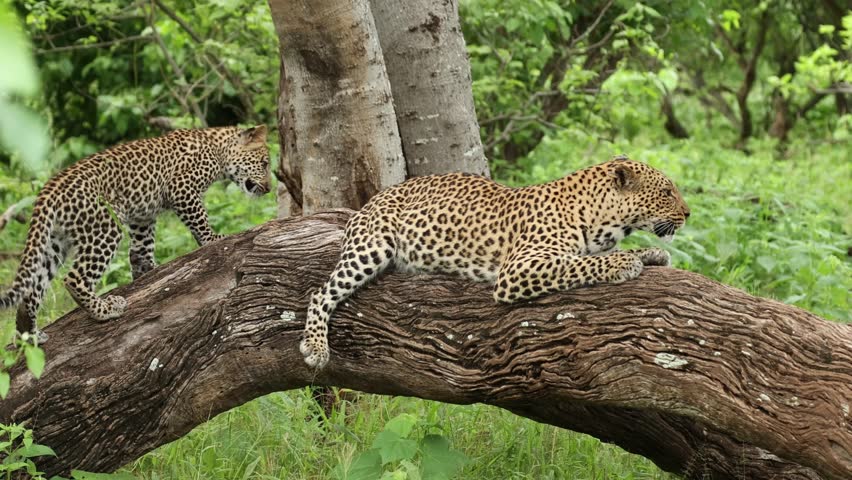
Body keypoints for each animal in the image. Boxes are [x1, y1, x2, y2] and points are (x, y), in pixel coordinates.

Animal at [1, 125, 271, 342]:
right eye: (265, 163)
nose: (269, 188)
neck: (218, 149)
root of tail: (50, 187)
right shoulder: (182, 189)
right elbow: (200, 220)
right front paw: (214, 239)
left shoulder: (143, 218)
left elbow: (141, 252)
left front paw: (149, 274)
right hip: (106, 228)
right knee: (74, 278)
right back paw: (105, 310)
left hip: (54, 243)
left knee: (32, 289)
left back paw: (29, 334)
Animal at [300, 155, 690, 368]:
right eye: (667, 191)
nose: (688, 213)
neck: (603, 220)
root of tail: (371, 201)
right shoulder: (519, 269)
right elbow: (575, 264)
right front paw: (624, 263)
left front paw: (651, 253)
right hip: (371, 248)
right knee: (321, 293)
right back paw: (315, 347)